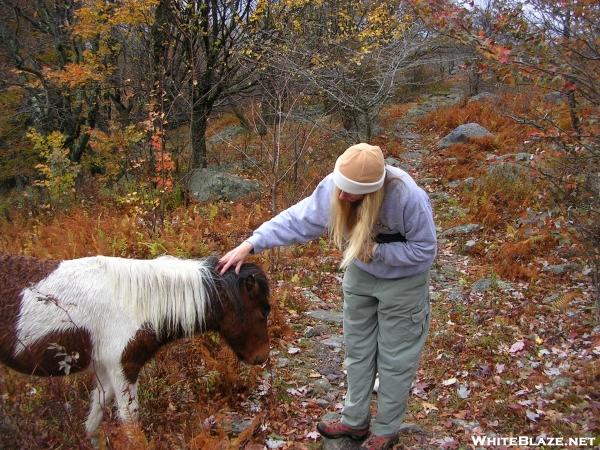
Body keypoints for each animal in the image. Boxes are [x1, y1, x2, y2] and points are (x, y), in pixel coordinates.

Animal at [0, 255, 272, 438]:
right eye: (263, 311)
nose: (262, 358)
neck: (137, 303)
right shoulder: (123, 368)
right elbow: (131, 425)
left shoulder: (106, 369)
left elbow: (95, 417)